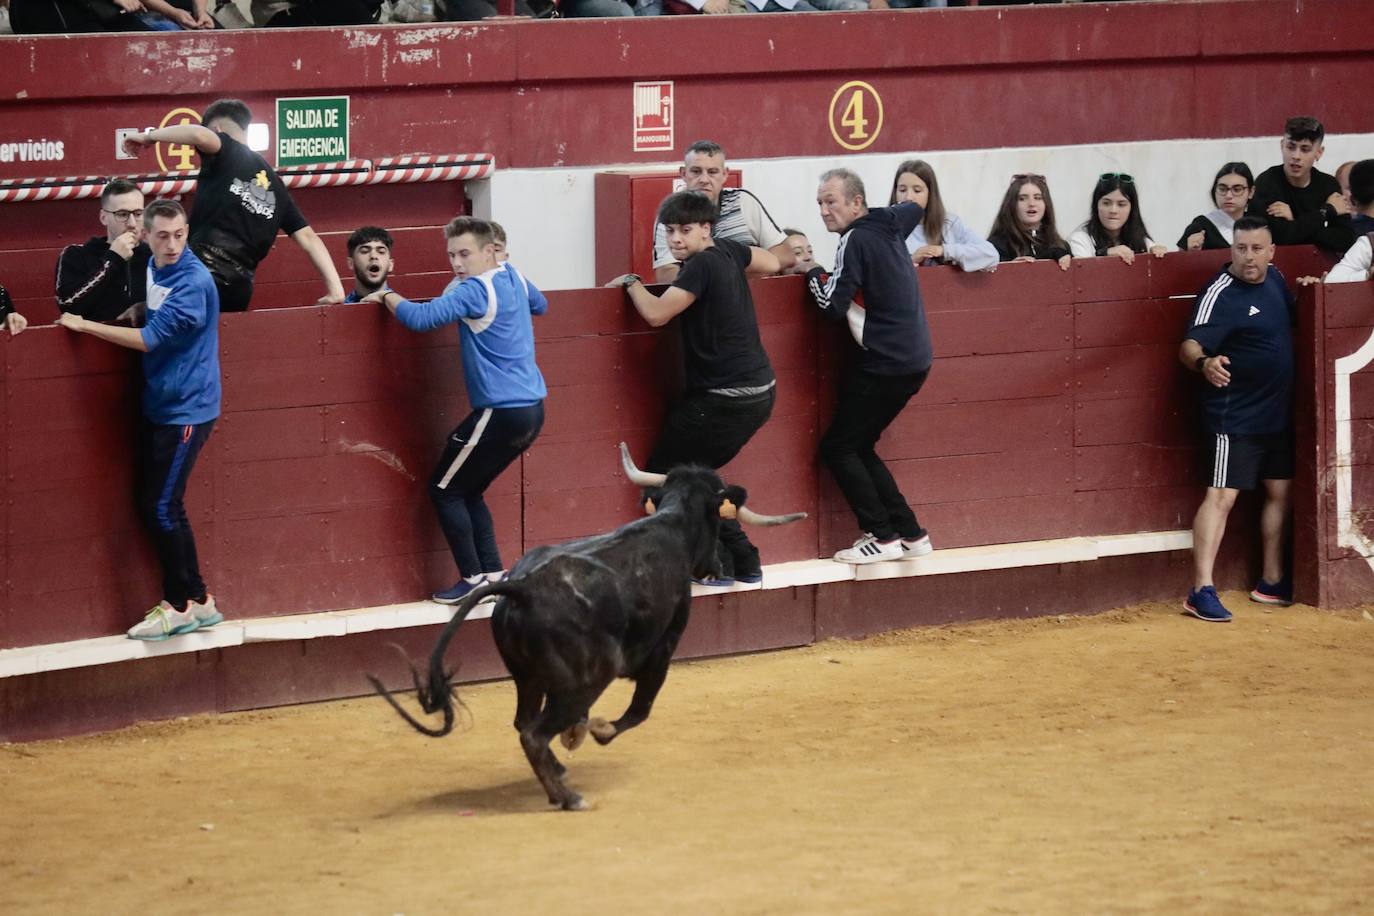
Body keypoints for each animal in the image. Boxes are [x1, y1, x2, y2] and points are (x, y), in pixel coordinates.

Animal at [370, 444, 807, 807]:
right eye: (718, 520)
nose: (715, 567)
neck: (669, 528)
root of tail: (523, 587)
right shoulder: (663, 649)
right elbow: (639, 711)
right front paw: (596, 730)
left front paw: (579, 732)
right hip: (591, 675)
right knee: (535, 732)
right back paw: (567, 796)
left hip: (529, 678)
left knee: (526, 722)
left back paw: (559, 772)